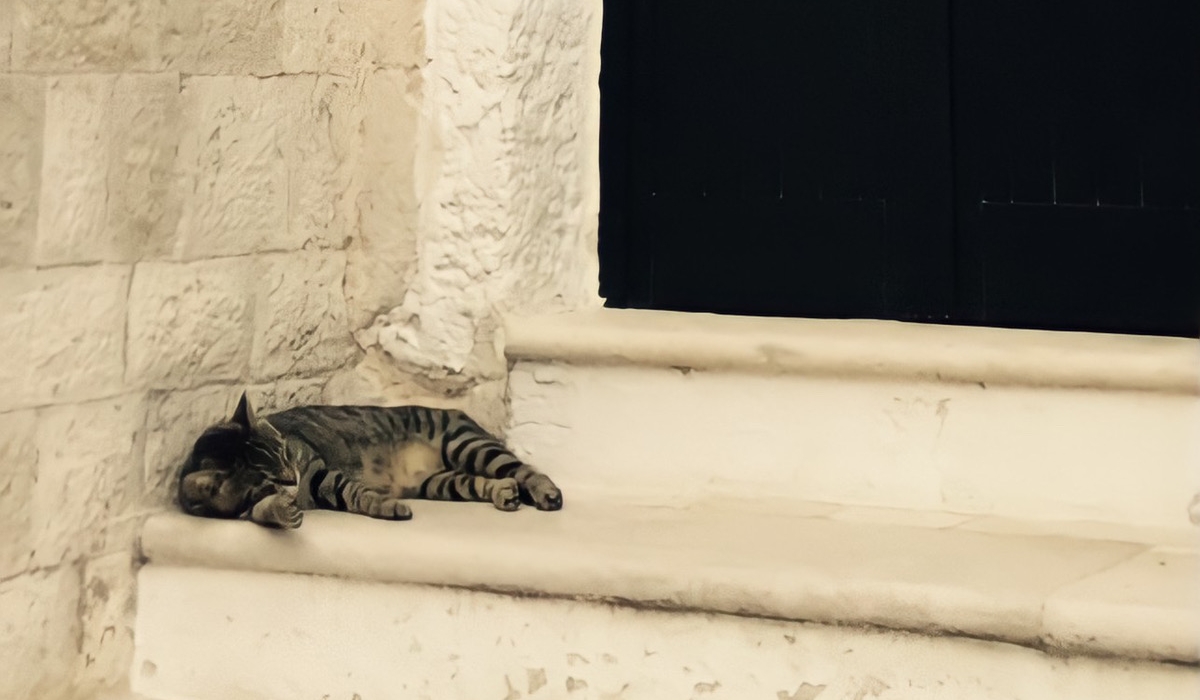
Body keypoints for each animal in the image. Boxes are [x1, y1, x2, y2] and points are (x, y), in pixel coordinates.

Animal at [177, 392, 563, 529]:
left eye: (286, 453)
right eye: (267, 478)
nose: (292, 479)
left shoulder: (318, 470)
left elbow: (354, 493)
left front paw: (387, 507)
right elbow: (259, 511)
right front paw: (280, 510)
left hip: (468, 444)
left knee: (524, 469)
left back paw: (547, 493)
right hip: (440, 482)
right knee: (485, 481)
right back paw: (504, 494)